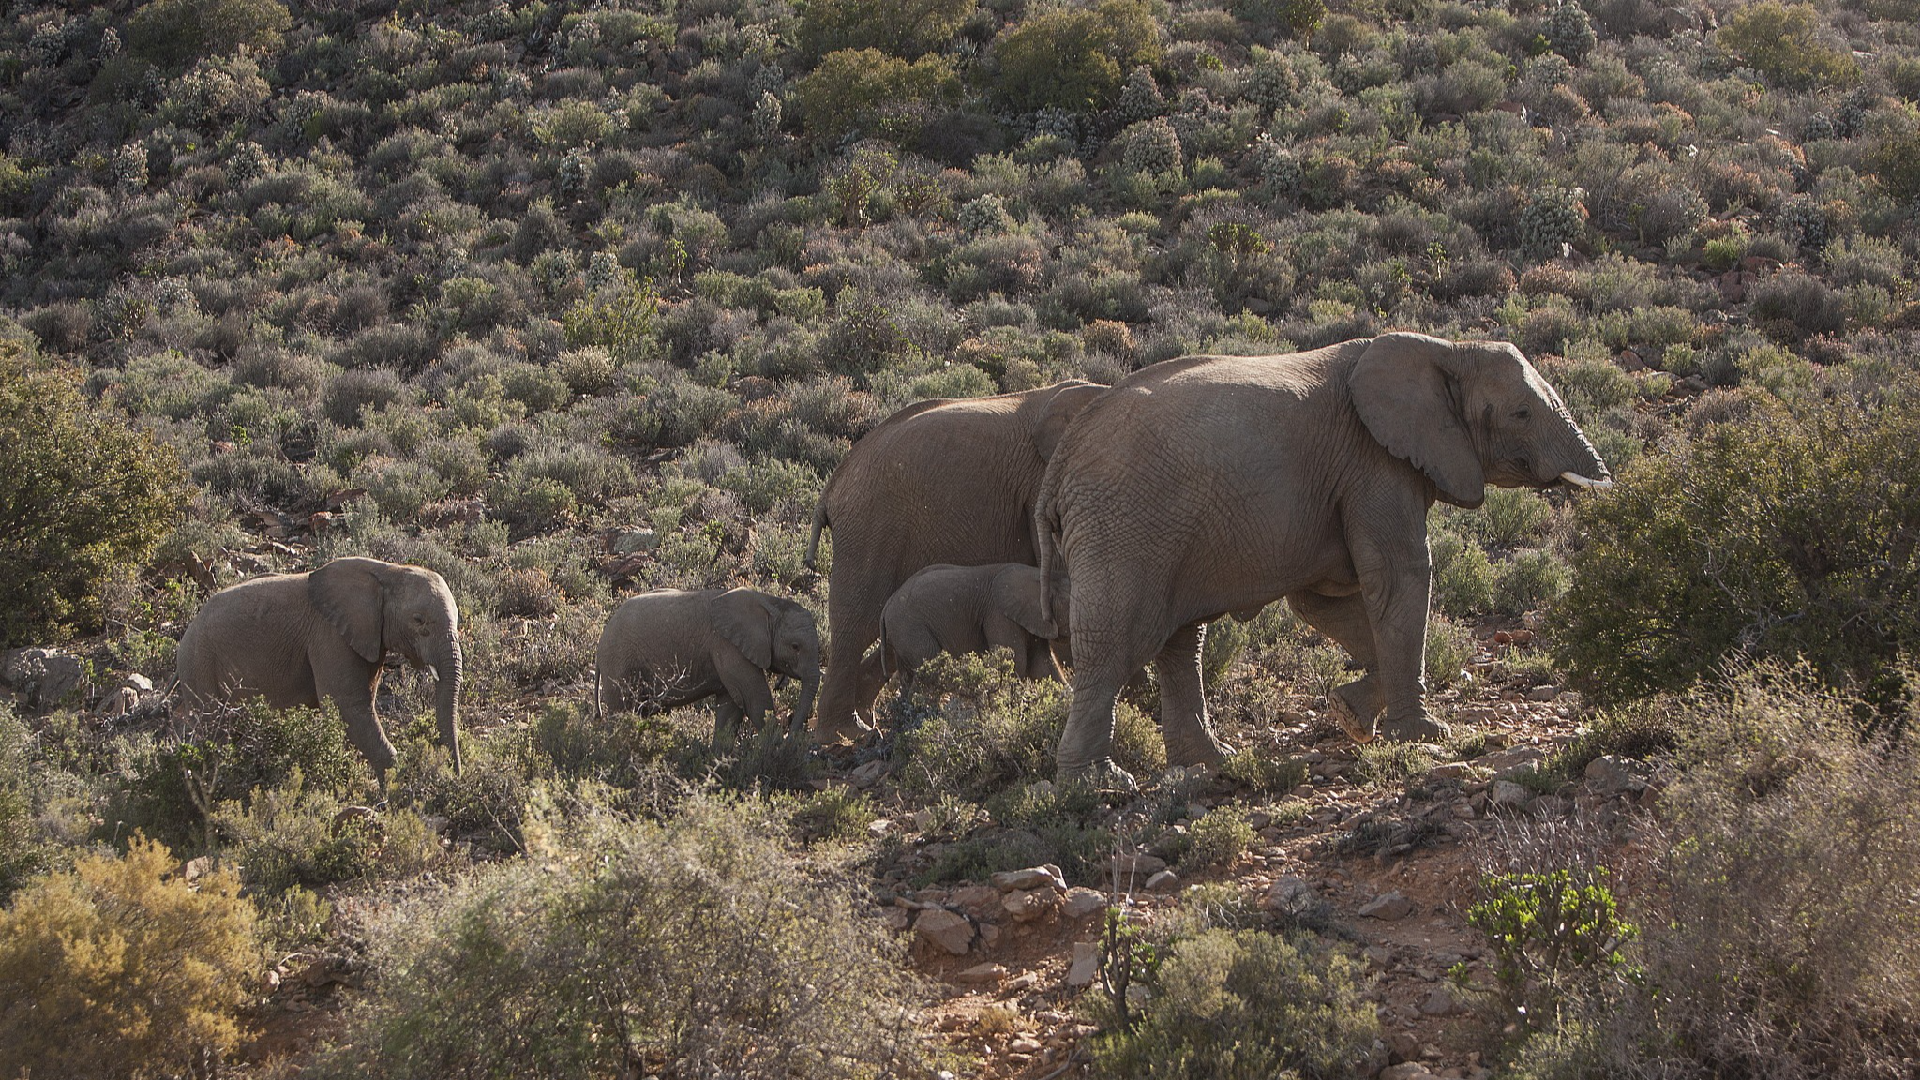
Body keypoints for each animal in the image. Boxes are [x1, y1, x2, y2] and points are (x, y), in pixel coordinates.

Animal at [176, 553, 468, 772]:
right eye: (418, 621)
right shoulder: (330, 636)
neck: (387, 571)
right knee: (213, 731)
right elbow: (348, 708)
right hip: (199, 665)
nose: (453, 774)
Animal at [591, 584, 817, 745]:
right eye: (795, 647)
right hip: (619, 662)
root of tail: (600, 643)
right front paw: (777, 748)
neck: (769, 603)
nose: (780, 684)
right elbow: (755, 699)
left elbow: (731, 706)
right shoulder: (726, 645)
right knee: (622, 710)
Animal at [1036, 332, 1605, 787]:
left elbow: (1325, 601)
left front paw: (1350, 713)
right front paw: (1423, 735)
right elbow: (1400, 577)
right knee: (1114, 644)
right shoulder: (1373, 462)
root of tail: (1059, 462)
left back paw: (1211, 763)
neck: (1442, 347)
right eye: (1521, 414)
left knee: (1181, 642)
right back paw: (1097, 784)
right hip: (1122, 528)